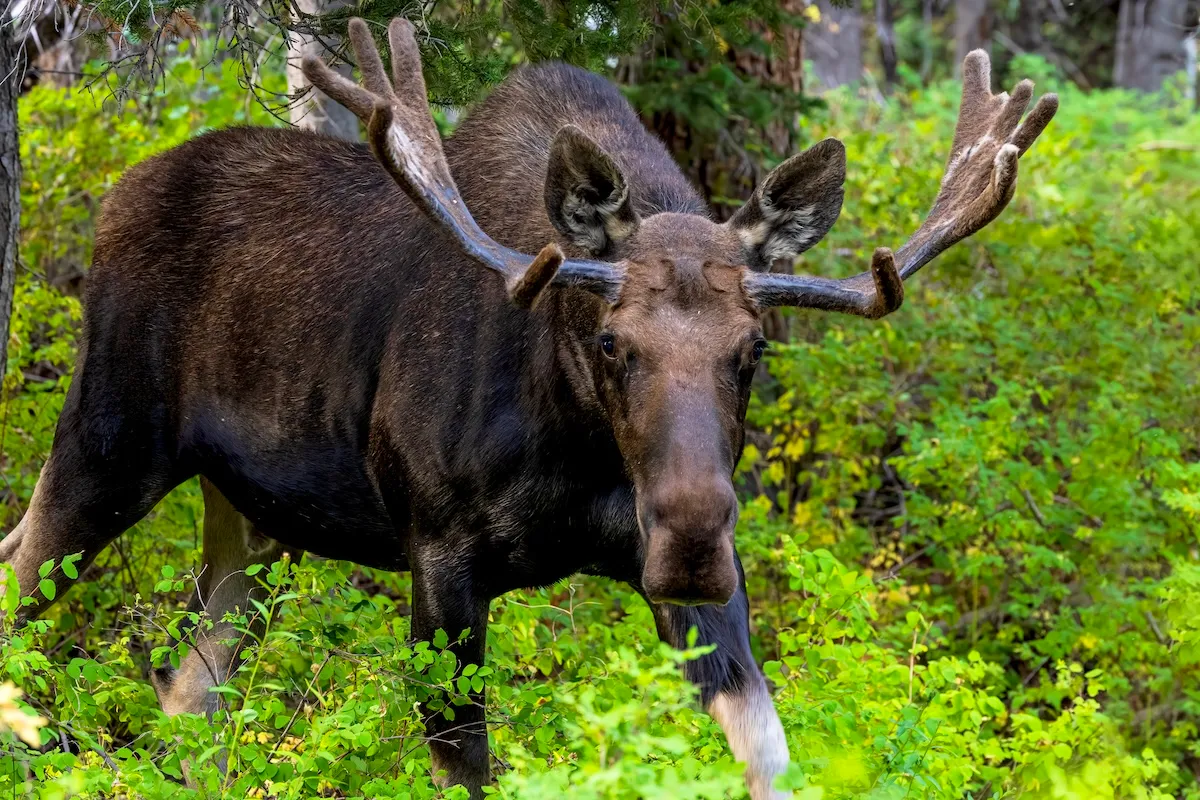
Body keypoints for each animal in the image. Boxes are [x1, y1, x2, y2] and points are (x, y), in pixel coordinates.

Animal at [0, 16, 1057, 798]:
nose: (691, 533)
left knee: (188, 693)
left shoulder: (696, 591)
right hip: (110, 439)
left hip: (256, 522)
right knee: (23, 574)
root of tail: (116, 195)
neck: (577, 450)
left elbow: (767, 751)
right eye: (612, 342)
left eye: (753, 350)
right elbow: (468, 768)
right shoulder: (439, 558)